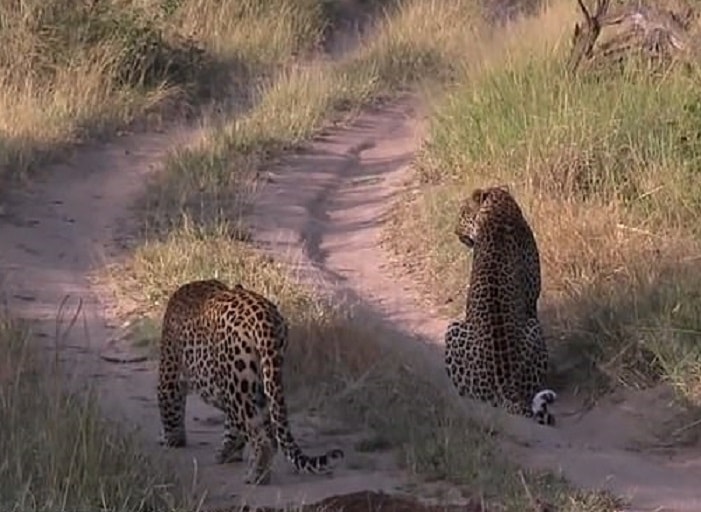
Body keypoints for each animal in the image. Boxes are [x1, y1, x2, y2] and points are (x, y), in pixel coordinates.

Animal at [157, 278, 344, 485]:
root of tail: (265, 317)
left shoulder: (170, 376)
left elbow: (170, 409)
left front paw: (173, 440)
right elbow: (232, 429)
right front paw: (229, 453)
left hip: (239, 385)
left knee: (261, 438)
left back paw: (256, 476)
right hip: (264, 380)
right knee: (270, 434)